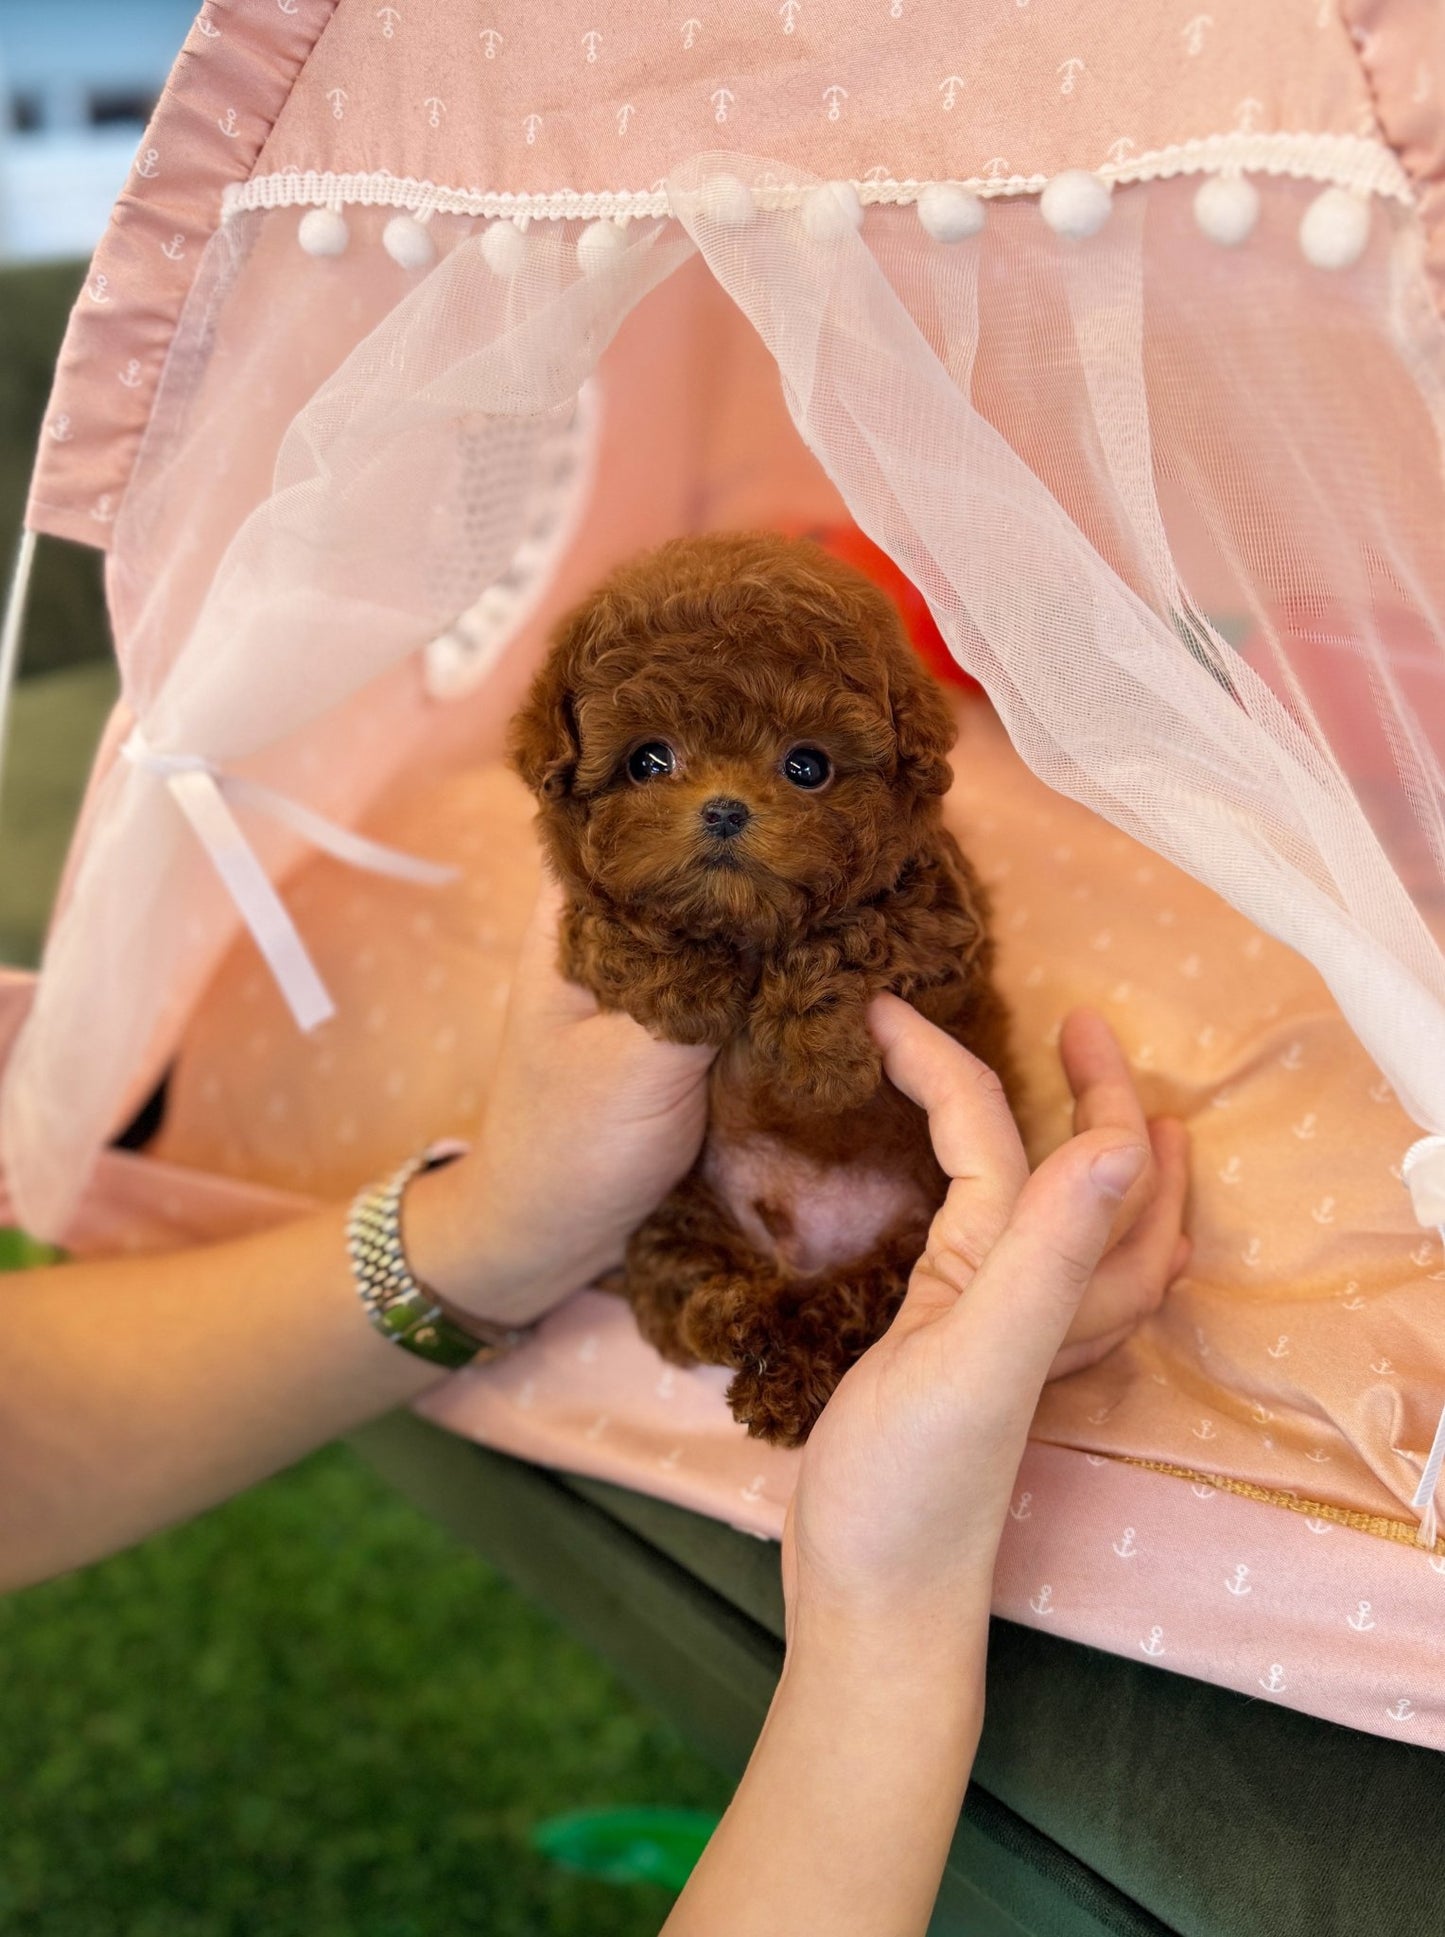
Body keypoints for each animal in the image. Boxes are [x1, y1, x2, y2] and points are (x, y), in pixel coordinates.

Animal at [507, 530, 1014, 1441]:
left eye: (807, 765)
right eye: (648, 759)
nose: (723, 809)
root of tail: (798, 1254)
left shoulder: (940, 921)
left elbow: (840, 937)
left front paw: (816, 1062)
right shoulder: (578, 928)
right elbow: (618, 933)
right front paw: (695, 984)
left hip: (910, 1238)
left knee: (852, 1309)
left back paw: (787, 1380)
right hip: (676, 1210)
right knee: (683, 1294)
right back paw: (740, 1319)